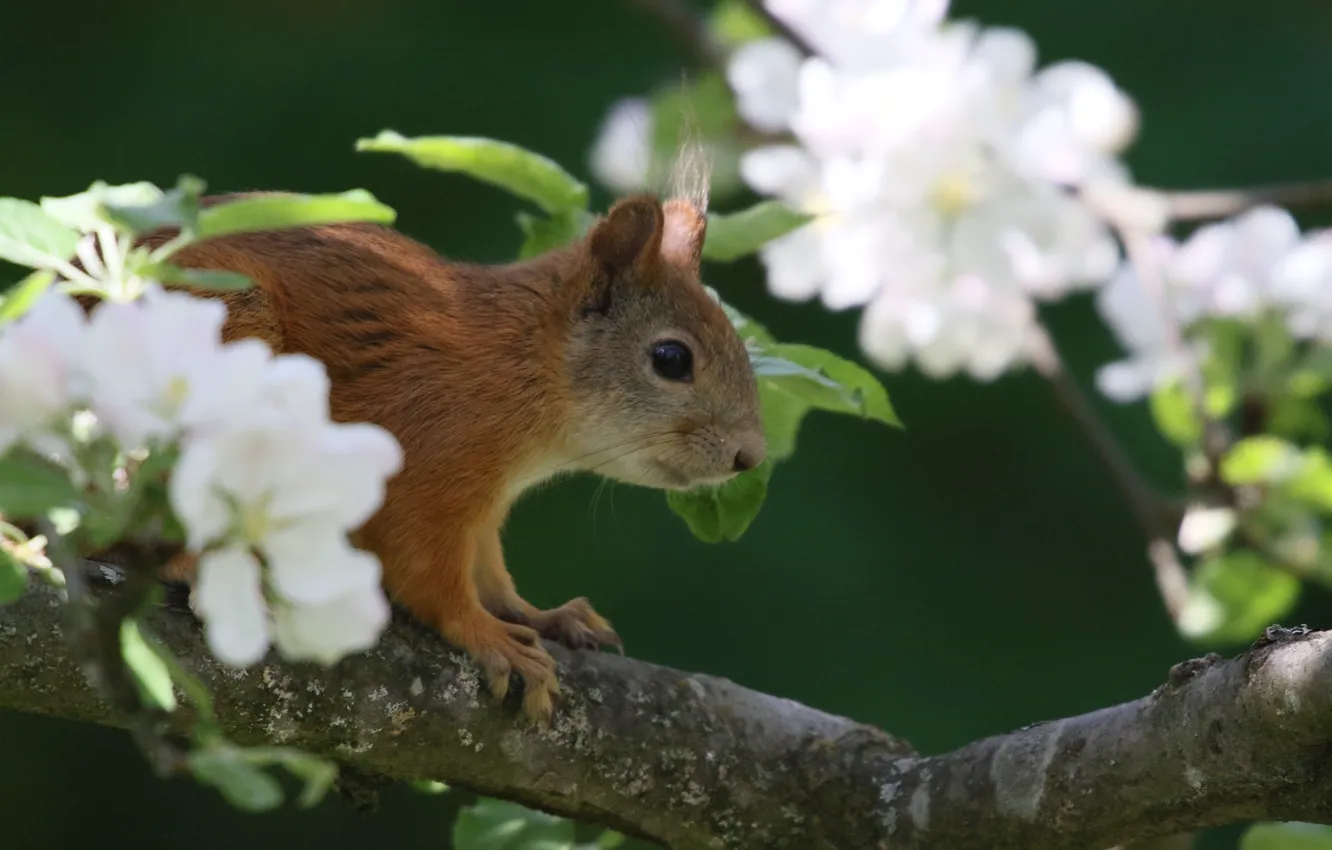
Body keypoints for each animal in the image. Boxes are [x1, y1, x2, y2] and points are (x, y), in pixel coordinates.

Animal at [132, 189, 772, 724]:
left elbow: (489, 572)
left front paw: (540, 615)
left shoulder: (484, 507)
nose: (751, 456)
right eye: (671, 359)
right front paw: (488, 635)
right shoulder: (429, 459)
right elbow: (427, 574)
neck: (522, 360)